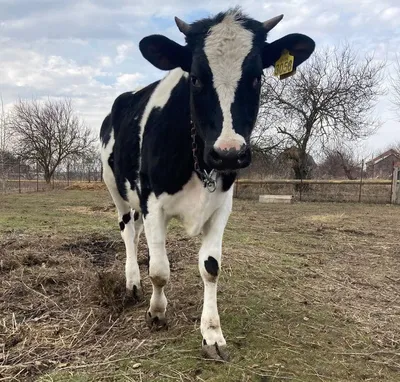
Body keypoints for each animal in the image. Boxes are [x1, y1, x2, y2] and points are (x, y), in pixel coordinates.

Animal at [100, 7, 316, 360]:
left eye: (256, 78)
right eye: (197, 78)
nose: (229, 153)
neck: (196, 158)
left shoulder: (221, 206)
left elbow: (210, 267)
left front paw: (212, 333)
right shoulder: (152, 203)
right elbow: (159, 270)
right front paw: (156, 312)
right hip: (117, 190)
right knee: (128, 233)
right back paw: (132, 282)